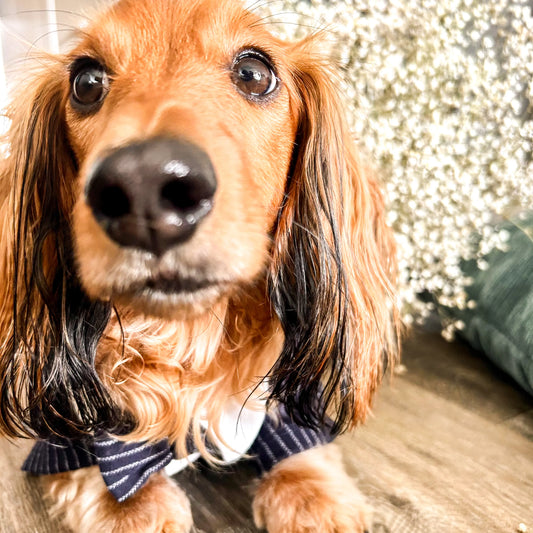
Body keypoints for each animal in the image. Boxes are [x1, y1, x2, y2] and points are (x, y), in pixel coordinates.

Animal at [0, 2, 400, 528]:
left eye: (254, 72)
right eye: (85, 81)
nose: (144, 185)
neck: (188, 336)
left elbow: (295, 430)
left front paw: (312, 492)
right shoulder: (67, 433)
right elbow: (95, 453)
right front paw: (133, 509)